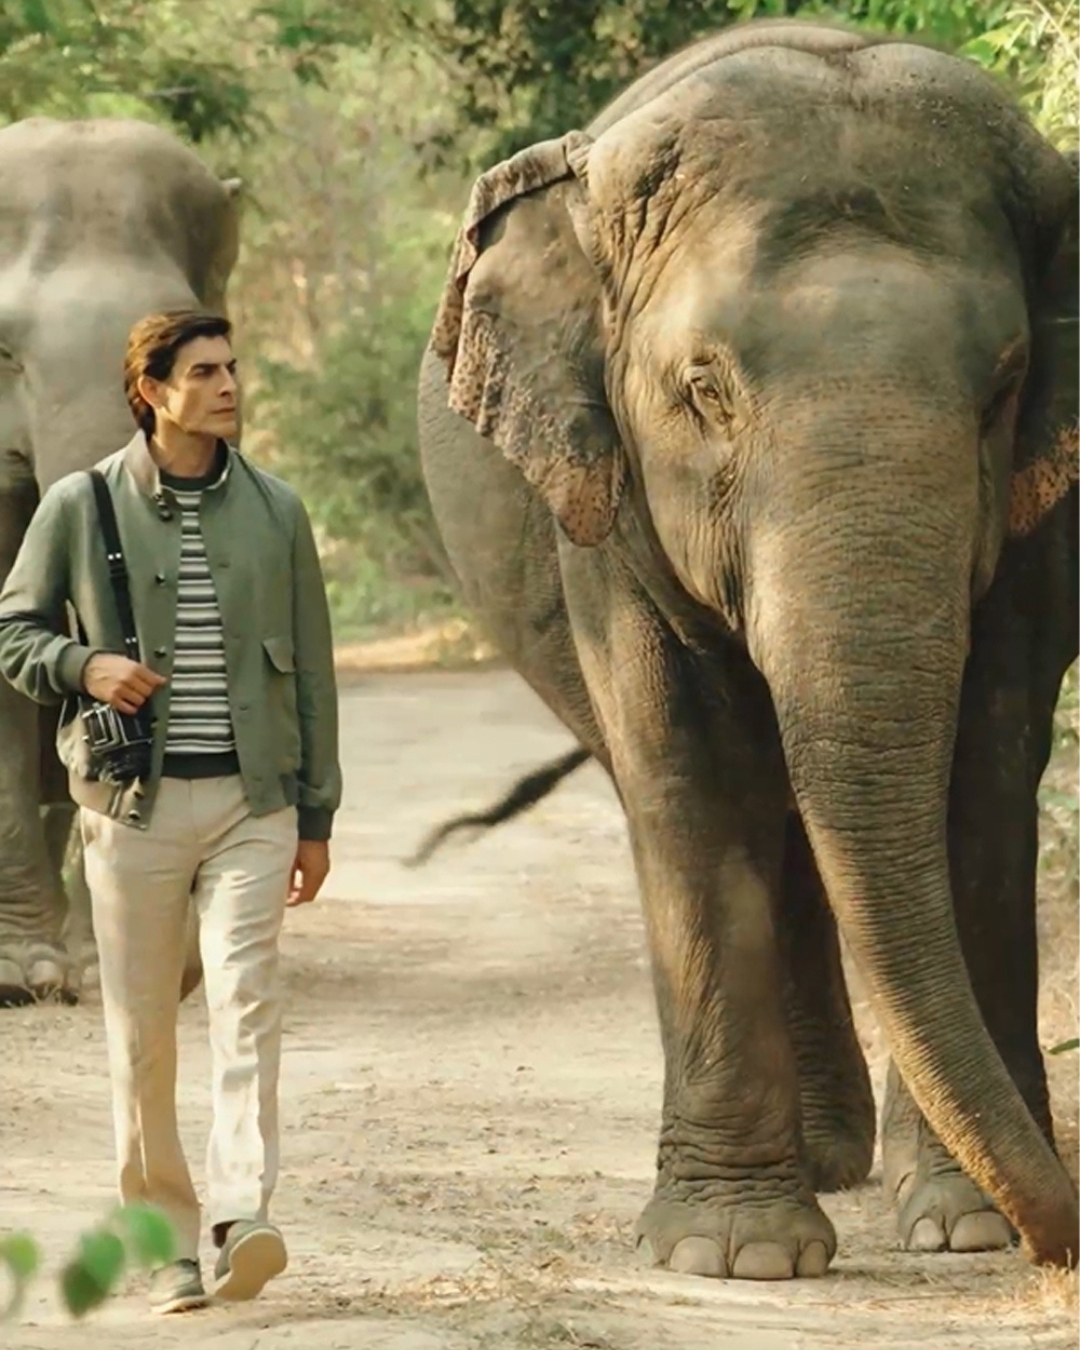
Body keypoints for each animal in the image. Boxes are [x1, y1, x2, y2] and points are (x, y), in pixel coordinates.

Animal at [416, 18, 1079, 1278]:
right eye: (704, 390)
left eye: (1006, 388)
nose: (1056, 1238)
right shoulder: (606, 505)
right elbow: (692, 768)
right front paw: (737, 1255)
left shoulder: (1035, 519)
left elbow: (987, 767)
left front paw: (962, 1228)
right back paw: (821, 1164)